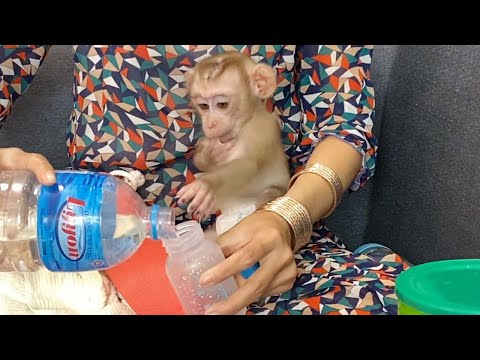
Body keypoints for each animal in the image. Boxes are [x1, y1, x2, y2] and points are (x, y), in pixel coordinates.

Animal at [176, 51, 288, 224]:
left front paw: (206, 184)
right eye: (204, 106)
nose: (210, 125)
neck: (241, 126)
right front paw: (210, 156)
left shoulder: (260, 128)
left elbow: (248, 164)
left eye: (222, 104)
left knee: (269, 192)